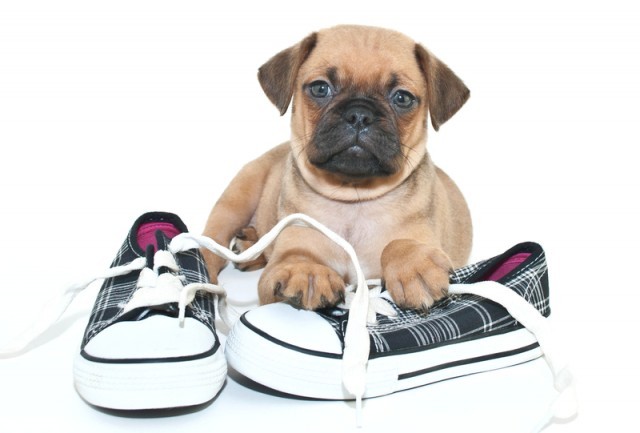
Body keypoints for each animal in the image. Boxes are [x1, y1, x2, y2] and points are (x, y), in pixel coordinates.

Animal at [202, 23, 472, 308]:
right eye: (320, 88)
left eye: (402, 98)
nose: (359, 114)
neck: (353, 196)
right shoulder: (289, 248)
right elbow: (297, 256)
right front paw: (305, 270)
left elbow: (398, 242)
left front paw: (413, 265)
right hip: (235, 200)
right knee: (210, 246)